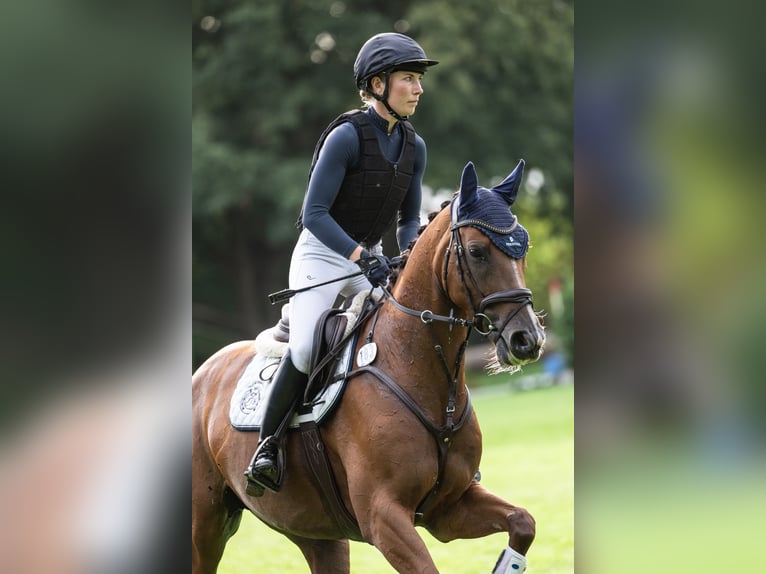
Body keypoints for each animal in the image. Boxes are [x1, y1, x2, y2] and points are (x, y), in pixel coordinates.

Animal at [192, 160, 546, 574]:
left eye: (524, 247)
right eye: (477, 251)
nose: (527, 340)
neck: (413, 366)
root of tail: (202, 373)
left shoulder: (450, 508)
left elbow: (523, 522)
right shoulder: (383, 516)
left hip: (316, 532)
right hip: (206, 525)